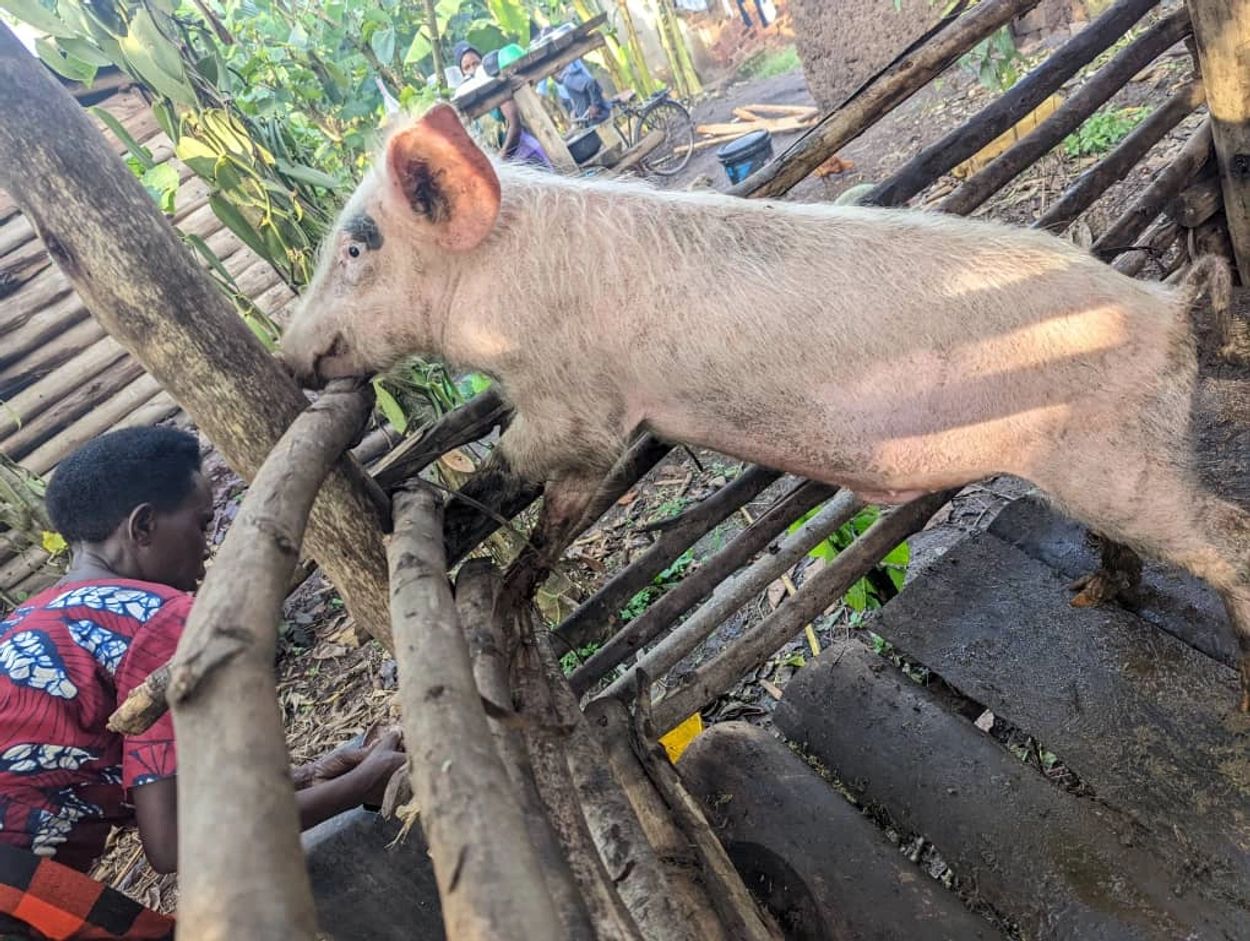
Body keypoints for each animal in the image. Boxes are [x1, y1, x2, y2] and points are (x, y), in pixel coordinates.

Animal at [280, 104, 1250, 710]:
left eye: (357, 247)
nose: (290, 356)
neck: (503, 293)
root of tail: (1170, 307)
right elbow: (557, 503)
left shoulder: (577, 398)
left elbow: (527, 471)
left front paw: (436, 527)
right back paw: (1093, 596)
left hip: (1123, 460)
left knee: (1227, 538)